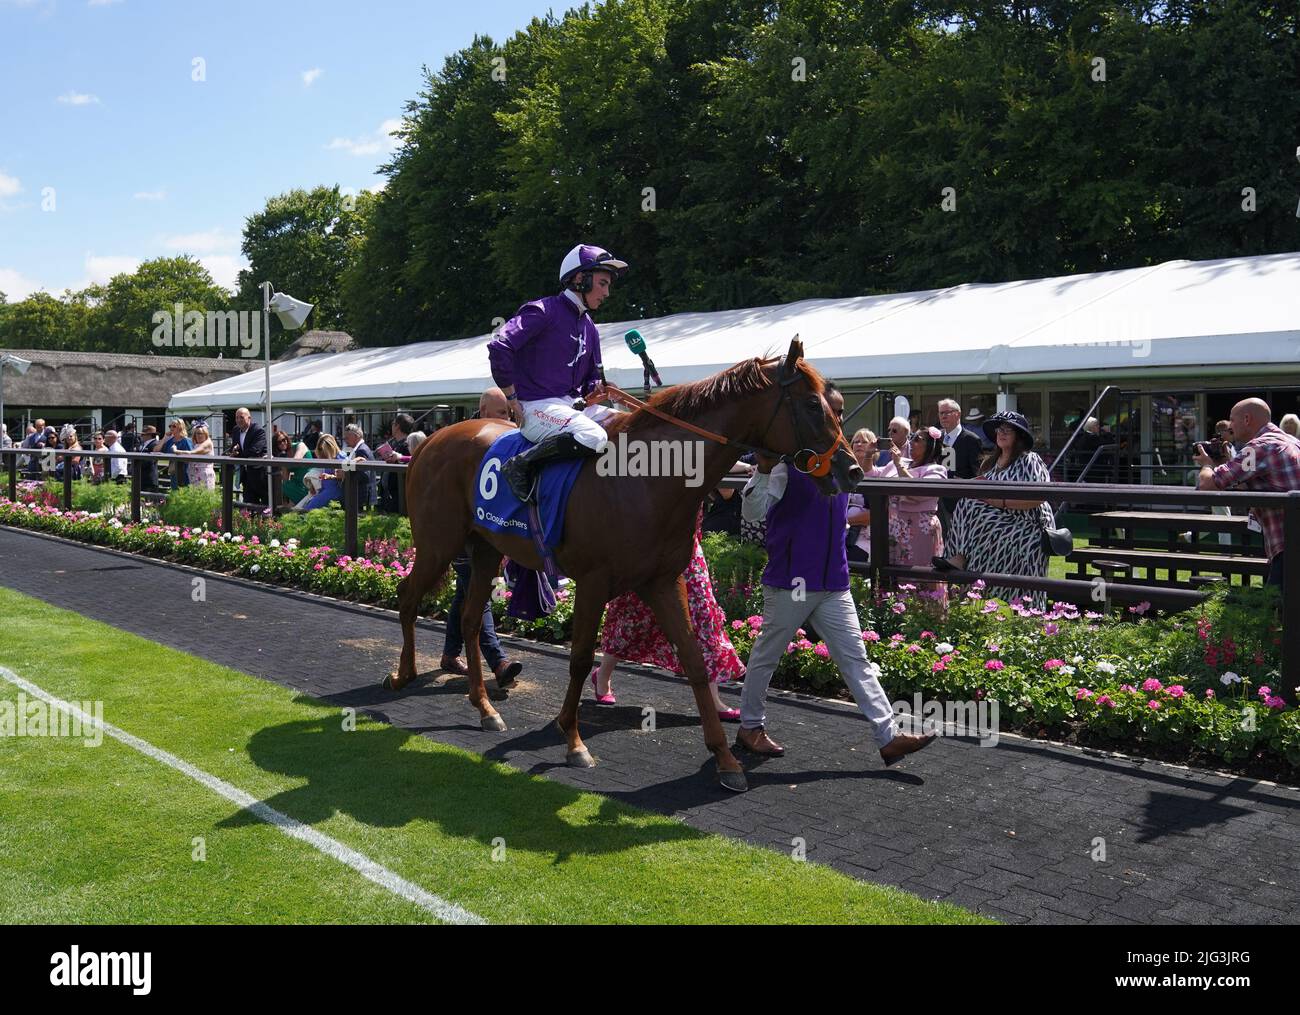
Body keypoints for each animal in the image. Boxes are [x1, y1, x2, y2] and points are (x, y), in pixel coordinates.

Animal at [384, 340, 857, 790]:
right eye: (812, 405)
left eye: (835, 406)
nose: (850, 469)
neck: (646, 478)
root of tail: (431, 440)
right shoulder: (593, 582)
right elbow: (579, 658)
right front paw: (573, 741)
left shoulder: (663, 582)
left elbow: (694, 660)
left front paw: (726, 759)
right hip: (438, 543)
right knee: (408, 596)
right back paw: (403, 674)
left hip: (485, 549)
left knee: (468, 618)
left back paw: (483, 708)